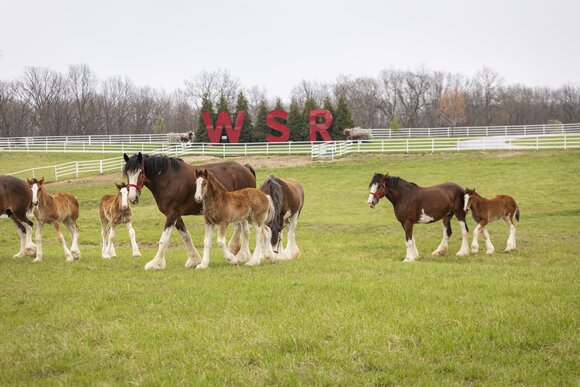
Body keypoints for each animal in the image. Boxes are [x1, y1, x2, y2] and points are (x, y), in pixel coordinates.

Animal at [123, 153, 256, 272]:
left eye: (140, 172)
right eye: (127, 174)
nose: (132, 197)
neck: (168, 179)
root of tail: (246, 168)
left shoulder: (172, 214)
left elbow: (163, 240)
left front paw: (154, 263)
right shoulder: (176, 215)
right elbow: (185, 236)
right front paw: (194, 260)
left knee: (245, 231)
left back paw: (241, 255)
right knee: (241, 228)